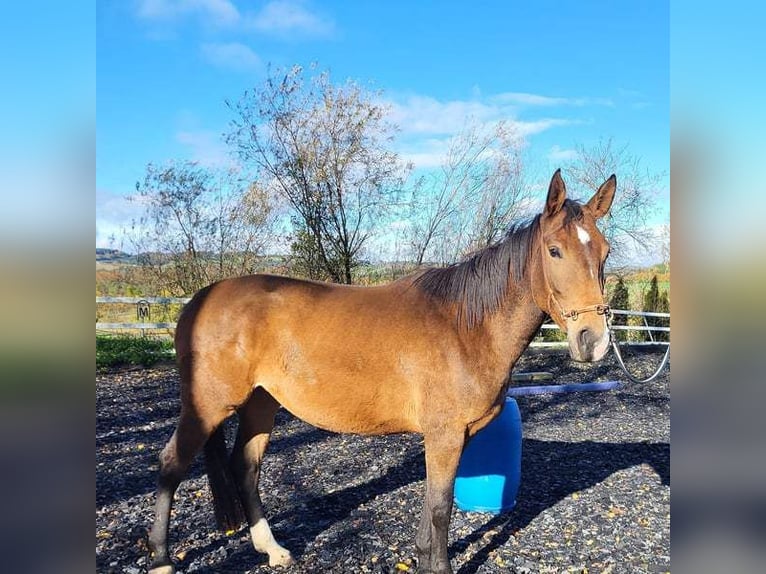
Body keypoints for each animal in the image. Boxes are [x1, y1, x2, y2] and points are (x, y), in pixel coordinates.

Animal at [148, 169, 616, 572]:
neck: (465, 326)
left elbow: (435, 506)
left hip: (261, 403)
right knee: (172, 463)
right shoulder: (444, 435)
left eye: (604, 251)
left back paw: (273, 550)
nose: (592, 340)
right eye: (554, 250)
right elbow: (441, 509)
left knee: (245, 467)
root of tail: (202, 298)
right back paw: (161, 560)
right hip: (208, 404)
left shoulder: (453, 436)